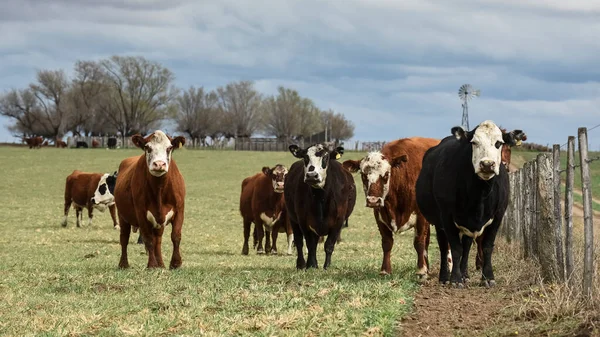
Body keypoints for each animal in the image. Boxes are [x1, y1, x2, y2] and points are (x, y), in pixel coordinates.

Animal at [113, 130, 185, 270]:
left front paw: (175, 263)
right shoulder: (141, 213)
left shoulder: (180, 210)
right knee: (124, 238)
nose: (159, 164)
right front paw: (151, 264)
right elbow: (148, 239)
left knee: (158, 240)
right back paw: (124, 264)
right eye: (147, 147)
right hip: (122, 216)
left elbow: (175, 236)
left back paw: (161, 264)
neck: (160, 189)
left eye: (169, 148)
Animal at [342, 136, 440, 276]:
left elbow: (419, 242)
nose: (373, 200)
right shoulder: (380, 215)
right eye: (363, 175)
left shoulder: (421, 217)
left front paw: (421, 270)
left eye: (386, 174)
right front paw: (385, 270)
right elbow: (387, 243)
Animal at [418, 119, 520, 288]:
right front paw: (455, 279)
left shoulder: (498, 216)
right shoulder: (446, 217)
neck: (480, 195)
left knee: (466, 246)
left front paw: (488, 277)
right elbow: (455, 248)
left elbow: (486, 247)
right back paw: (444, 277)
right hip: (439, 222)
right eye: (474, 142)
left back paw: (465, 274)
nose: (487, 164)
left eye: (499, 143)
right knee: (444, 246)